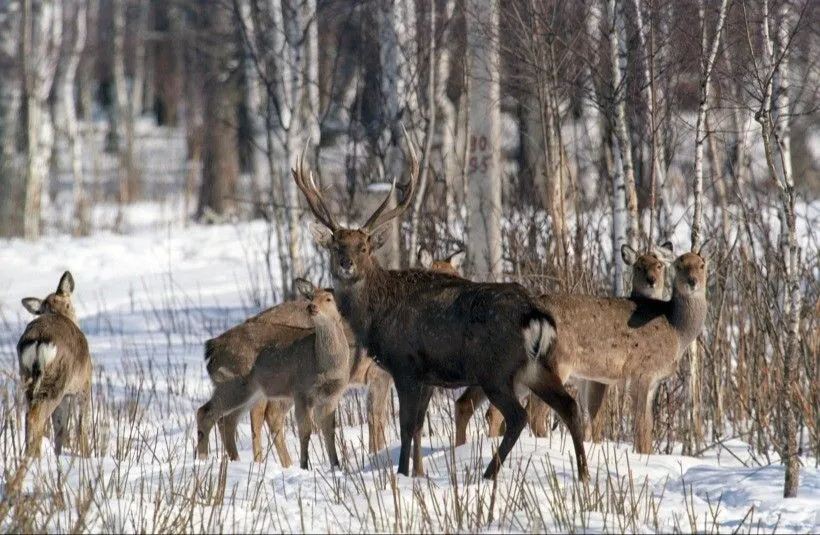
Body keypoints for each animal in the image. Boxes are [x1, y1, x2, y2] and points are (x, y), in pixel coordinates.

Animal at [17, 274, 91, 458]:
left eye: (67, 304)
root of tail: (39, 340)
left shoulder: (66, 395)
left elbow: (60, 428)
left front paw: (58, 457)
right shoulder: (84, 384)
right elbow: (82, 424)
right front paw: (86, 456)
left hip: (26, 376)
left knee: (29, 415)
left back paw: (31, 456)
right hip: (56, 382)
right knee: (35, 417)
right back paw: (35, 457)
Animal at [200, 280, 354, 468]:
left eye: (328, 298)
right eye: (311, 297)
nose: (311, 307)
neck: (325, 366)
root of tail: (212, 348)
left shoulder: (332, 395)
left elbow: (329, 431)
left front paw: (336, 465)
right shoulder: (301, 391)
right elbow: (305, 430)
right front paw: (304, 465)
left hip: (249, 391)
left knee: (226, 420)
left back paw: (235, 460)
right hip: (233, 382)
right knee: (206, 412)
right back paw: (202, 459)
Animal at [294, 139, 588, 482]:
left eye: (363, 248)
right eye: (335, 246)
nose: (346, 264)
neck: (376, 315)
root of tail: (535, 316)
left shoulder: (405, 365)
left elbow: (406, 426)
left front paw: (402, 474)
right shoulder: (428, 376)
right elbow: (417, 426)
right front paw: (414, 474)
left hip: (496, 369)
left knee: (518, 416)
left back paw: (488, 474)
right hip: (540, 365)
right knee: (568, 405)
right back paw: (583, 475)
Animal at [452, 245, 708, 454]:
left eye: (702, 264)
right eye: (678, 265)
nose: (692, 281)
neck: (676, 328)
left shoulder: (649, 381)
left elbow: (646, 423)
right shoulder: (640, 372)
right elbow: (640, 425)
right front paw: (643, 455)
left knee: (489, 408)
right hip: (556, 364)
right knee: (533, 413)